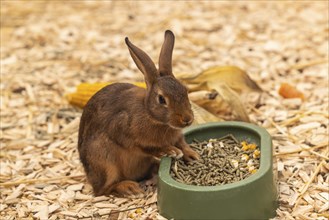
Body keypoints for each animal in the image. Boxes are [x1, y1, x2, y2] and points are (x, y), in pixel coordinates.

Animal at [77, 30, 197, 197]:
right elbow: (146, 147)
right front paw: (170, 151)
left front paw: (193, 156)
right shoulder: (123, 131)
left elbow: (182, 143)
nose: (187, 119)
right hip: (104, 162)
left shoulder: (177, 136)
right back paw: (129, 188)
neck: (150, 114)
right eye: (161, 99)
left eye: (185, 90)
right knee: (103, 190)